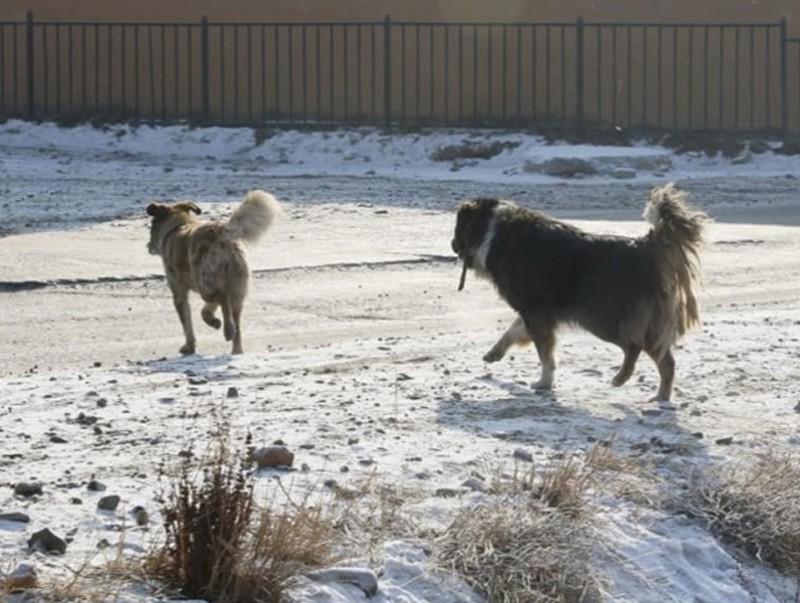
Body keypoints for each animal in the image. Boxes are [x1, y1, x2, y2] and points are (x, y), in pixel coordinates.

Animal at [147, 191, 282, 356]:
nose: (148, 246)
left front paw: (189, 346)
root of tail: (222, 231)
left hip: (205, 282)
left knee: (223, 299)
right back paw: (236, 347)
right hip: (235, 286)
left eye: (151, 226)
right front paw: (212, 321)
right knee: (234, 316)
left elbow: (187, 323)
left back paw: (228, 330)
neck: (177, 227)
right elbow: (205, 311)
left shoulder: (179, 292)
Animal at [454, 184, 708, 402]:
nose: (452, 244)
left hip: (605, 317)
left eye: (457, 230)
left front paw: (544, 383)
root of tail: (646, 246)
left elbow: (545, 354)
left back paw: (622, 378)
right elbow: (514, 330)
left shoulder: (536, 313)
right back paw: (661, 397)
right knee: (665, 360)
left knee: (636, 347)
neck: (492, 229)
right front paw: (494, 353)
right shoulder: (536, 312)